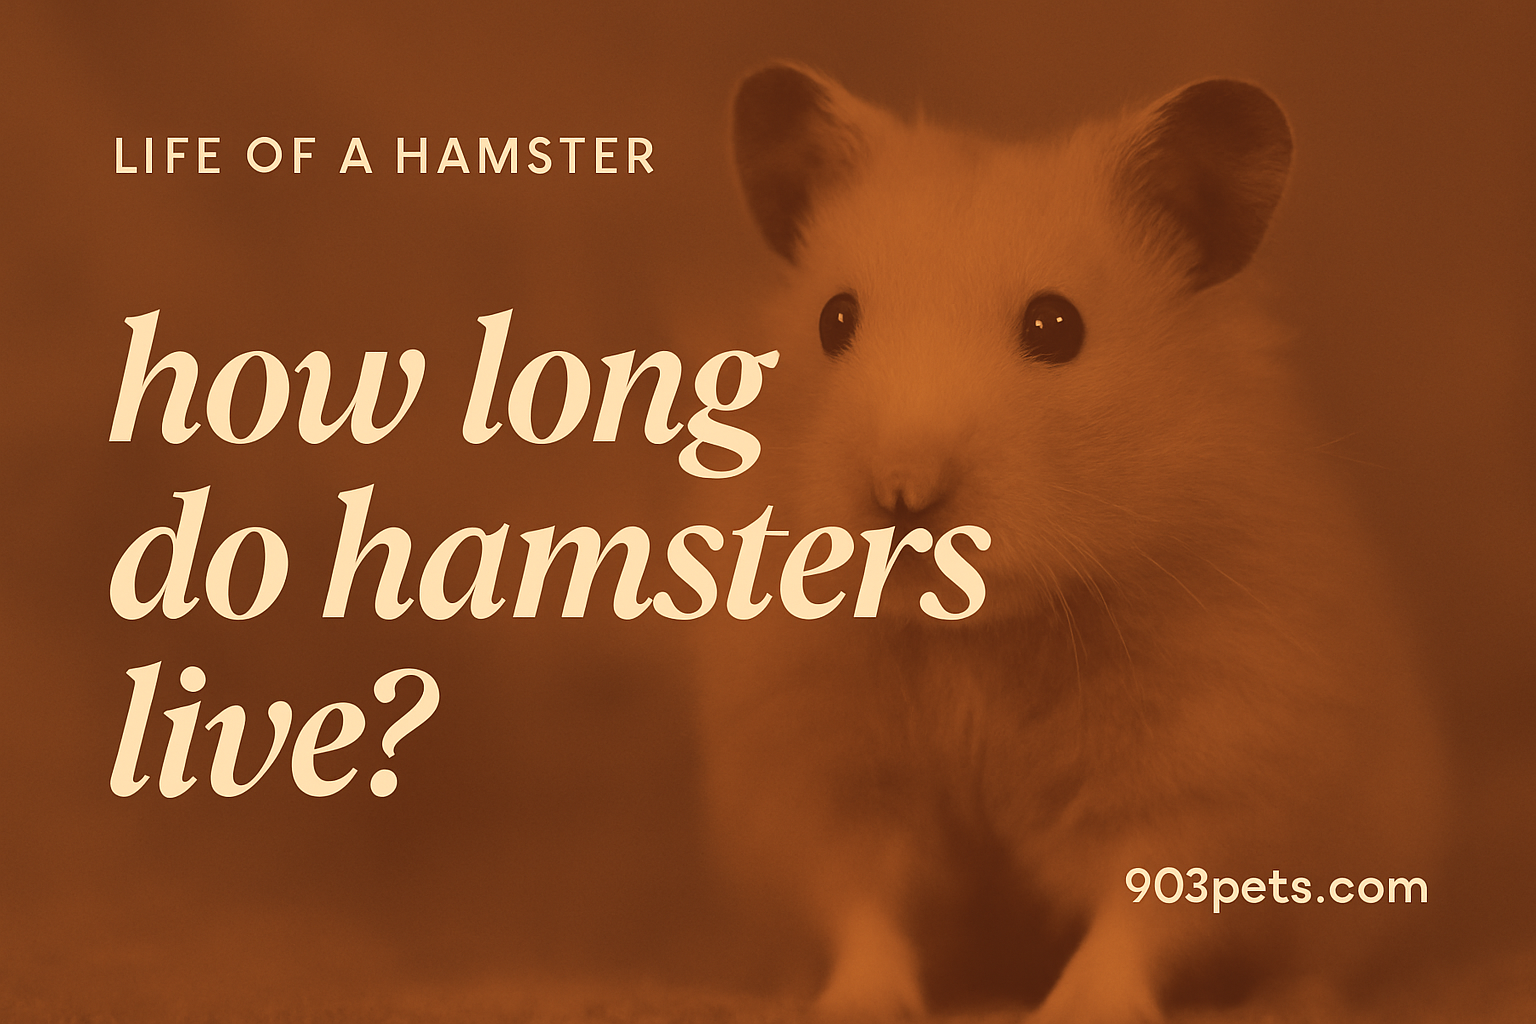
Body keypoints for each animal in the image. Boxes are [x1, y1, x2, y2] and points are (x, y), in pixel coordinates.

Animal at [695, 62, 1444, 1022]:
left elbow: (1141, 913)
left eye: (1056, 327)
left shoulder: (1206, 770)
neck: (978, 637)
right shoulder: (818, 767)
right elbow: (862, 903)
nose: (901, 491)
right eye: (835, 319)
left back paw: (1295, 997)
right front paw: (856, 1003)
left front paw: (1079, 1005)